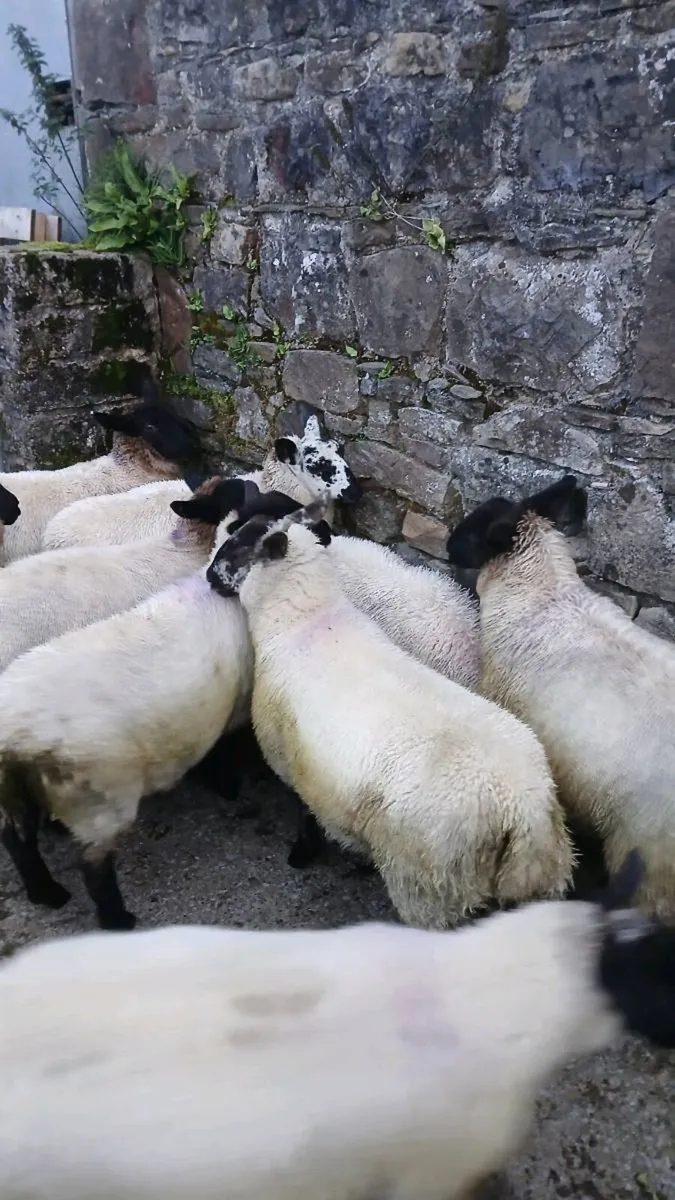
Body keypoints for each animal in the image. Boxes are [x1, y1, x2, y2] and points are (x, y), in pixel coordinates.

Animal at [206, 502, 574, 927]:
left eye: (236, 546)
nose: (207, 577)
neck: (305, 618)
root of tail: (522, 813)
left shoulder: (290, 757)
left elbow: (305, 812)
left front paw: (302, 852)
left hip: (431, 886)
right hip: (537, 879)